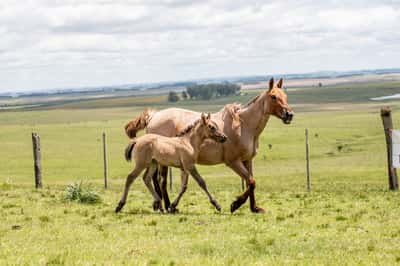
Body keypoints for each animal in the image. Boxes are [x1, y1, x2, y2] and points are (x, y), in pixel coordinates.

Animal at [125, 78, 294, 213]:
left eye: (285, 96)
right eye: (273, 96)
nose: (289, 115)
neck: (243, 125)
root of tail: (154, 116)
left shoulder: (247, 160)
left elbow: (250, 182)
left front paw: (254, 208)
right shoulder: (233, 162)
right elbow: (251, 182)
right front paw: (235, 204)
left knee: (154, 180)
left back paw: (160, 204)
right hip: (163, 162)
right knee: (161, 182)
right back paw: (166, 206)